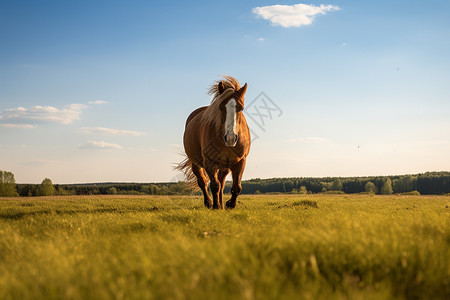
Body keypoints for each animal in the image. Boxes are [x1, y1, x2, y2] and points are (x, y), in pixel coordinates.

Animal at [176, 76, 251, 210]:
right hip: (196, 164)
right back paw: (209, 203)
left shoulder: (240, 161)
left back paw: (221, 203)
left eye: (241, 108)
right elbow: (214, 185)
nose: (230, 138)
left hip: (224, 167)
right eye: (220, 107)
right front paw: (215, 206)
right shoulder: (210, 162)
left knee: (221, 182)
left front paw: (229, 204)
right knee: (203, 182)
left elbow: (236, 187)